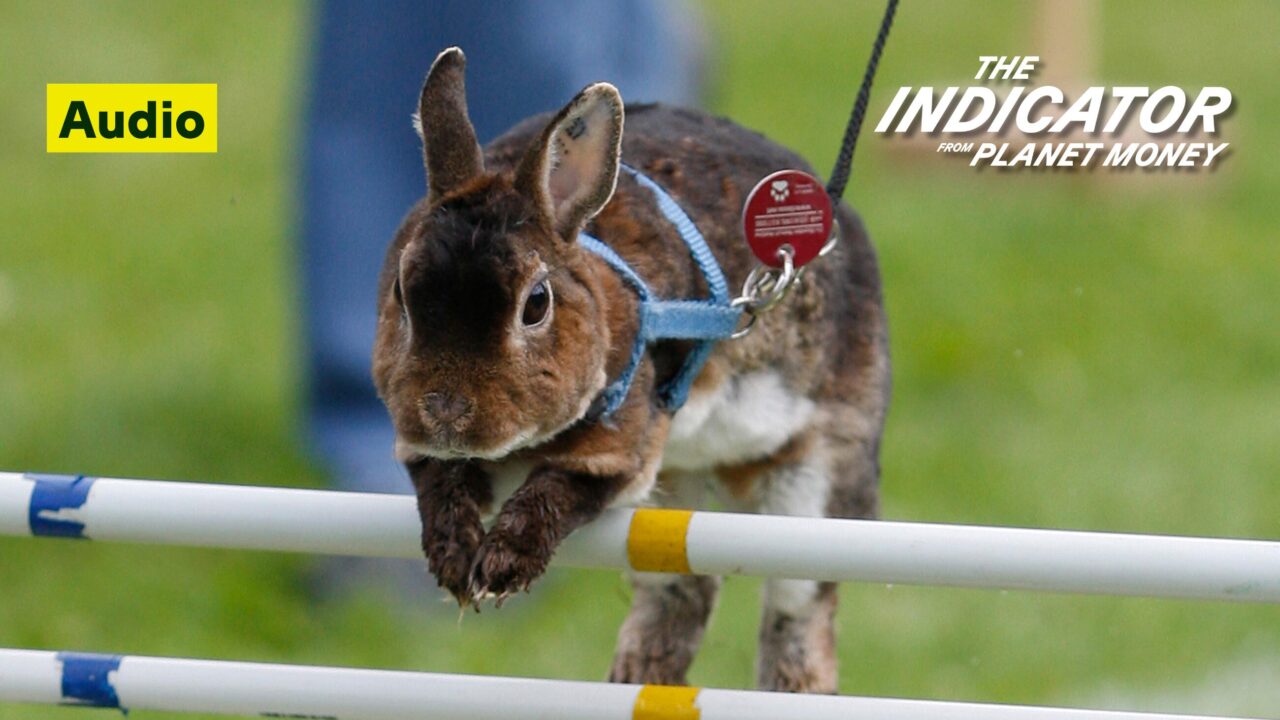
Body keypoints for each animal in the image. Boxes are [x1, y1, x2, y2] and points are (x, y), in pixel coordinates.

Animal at [372, 47, 889, 693]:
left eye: (535, 304)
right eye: (402, 291)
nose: (444, 413)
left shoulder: (622, 450)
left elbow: (554, 490)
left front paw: (498, 571)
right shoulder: (432, 456)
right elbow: (442, 486)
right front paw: (453, 559)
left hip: (811, 494)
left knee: (798, 606)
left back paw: (790, 690)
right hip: (672, 510)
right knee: (684, 592)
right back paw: (635, 681)